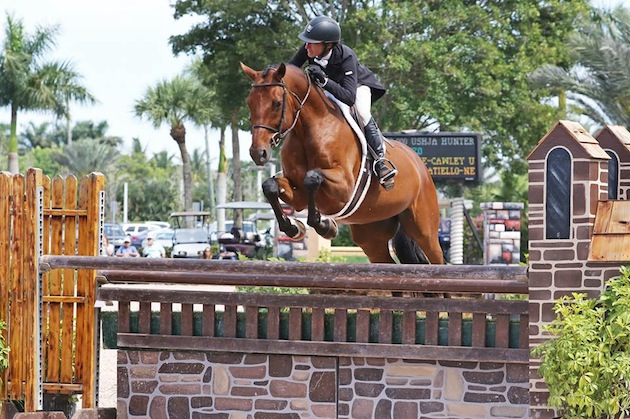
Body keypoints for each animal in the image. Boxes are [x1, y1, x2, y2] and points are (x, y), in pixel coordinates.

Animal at [242, 62, 444, 266]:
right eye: (249, 103)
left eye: (277, 103)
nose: (258, 153)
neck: (309, 130)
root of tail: (420, 165)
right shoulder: (297, 194)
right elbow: (270, 186)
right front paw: (294, 227)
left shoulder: (344, 187)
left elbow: (312, 178)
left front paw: (325, 226)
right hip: (371, 234)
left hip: (424, 229)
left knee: (436, 256)